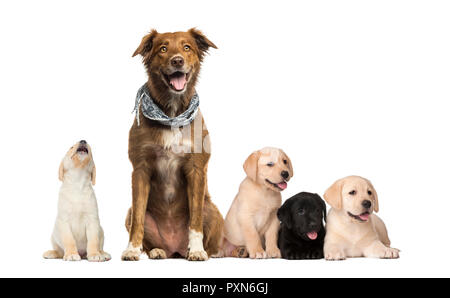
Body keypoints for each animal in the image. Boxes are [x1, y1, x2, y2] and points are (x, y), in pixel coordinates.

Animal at [121, 28, 223, 260]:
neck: (172, 114)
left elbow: (195, 219)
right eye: (163, 49)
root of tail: (175, 248)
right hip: (129, 213)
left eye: (187, 47)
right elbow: (138, 218)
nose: (177, 61)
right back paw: (157, 250)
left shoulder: (196, 169)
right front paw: (132, 249)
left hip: (212, 209)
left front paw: (197, 250)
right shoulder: (140, 169)